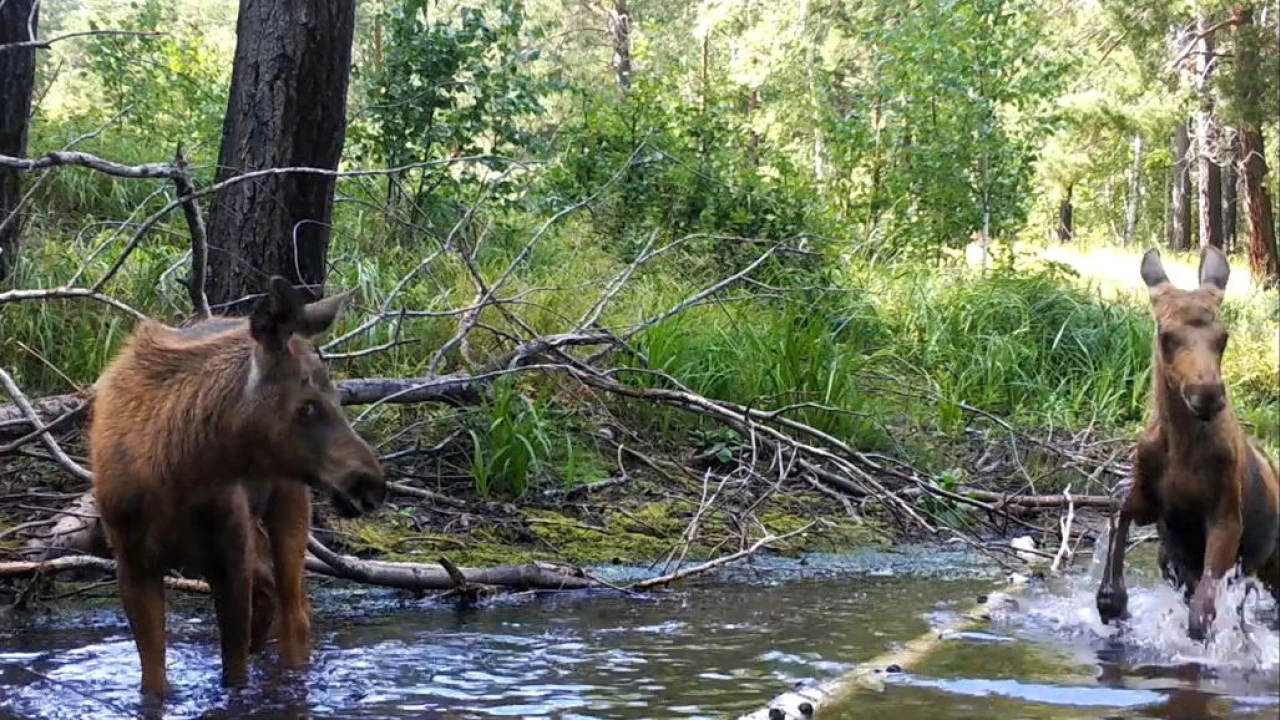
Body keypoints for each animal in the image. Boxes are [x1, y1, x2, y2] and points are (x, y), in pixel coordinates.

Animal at [88, 272, 384, 696]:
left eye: (339, 396)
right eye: (307, 405)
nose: (371, 483)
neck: (172, 473)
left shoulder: (228, 559)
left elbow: (235, 675)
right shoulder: (132, 563)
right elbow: (154, 681)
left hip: (288, 502)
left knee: (295, 611)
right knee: (271, 596)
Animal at [1090, 244, 1280, 638]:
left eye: (1223, 338)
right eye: (1166, 335)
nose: (1205, 394)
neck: (1180, 445)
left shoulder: (1225, 517)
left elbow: (1201, 615)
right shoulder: (1153, 504)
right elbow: (1120, 504)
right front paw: (1113, 598)